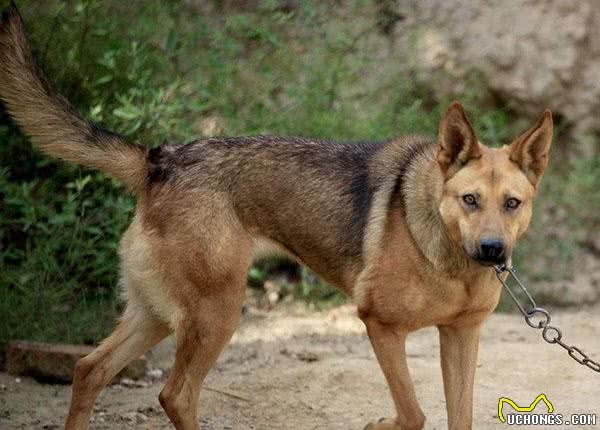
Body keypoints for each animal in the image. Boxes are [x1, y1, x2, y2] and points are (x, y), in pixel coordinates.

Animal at [0, 4, 552, 430]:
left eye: (512, 204)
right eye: (469, 200)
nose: (492, 251)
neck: (449, 259)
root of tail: (160, 160)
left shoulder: (461, 336)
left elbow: (459, 415)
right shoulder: (380, 325)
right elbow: (412, 413)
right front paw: (380, 422)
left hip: (156, 313)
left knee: (89, 369)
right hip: (215, 314)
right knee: (174, 395)